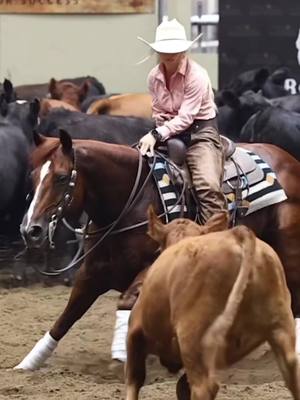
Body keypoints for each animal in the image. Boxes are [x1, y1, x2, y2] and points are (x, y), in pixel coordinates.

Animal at [16, 132, 300, 372]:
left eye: (62, 177)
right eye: (33, 176)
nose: (31, 230)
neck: (130, 203)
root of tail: (289, 160)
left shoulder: (150, 268)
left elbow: (125, 302)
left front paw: (120, 354)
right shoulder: (91, 273)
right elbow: (66, 318)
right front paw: (28, 363)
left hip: (287, 249)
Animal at [125, 209, 300, 400]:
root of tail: (237, 235)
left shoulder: (134, 332)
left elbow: (134, 380)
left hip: (193, 338)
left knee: (204, 386)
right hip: (280, 325)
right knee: (293, 370)